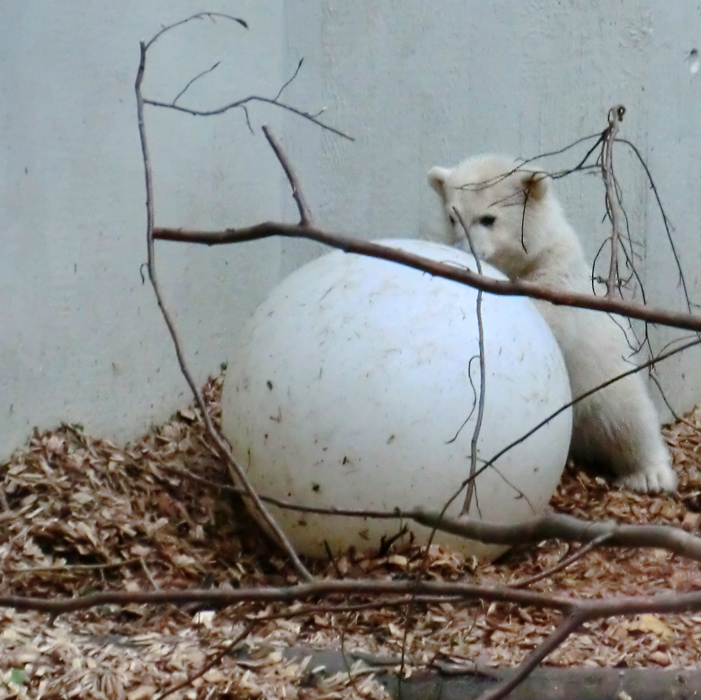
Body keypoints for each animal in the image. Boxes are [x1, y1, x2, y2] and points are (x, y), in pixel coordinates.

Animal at [424, 154, 676, 492]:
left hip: (604, 374)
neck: (522, 260)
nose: (466, 252)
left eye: (488, 218)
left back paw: (650, 474)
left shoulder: (556, 268)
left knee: (627, 416)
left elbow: (549, 318)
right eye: (453, 217)